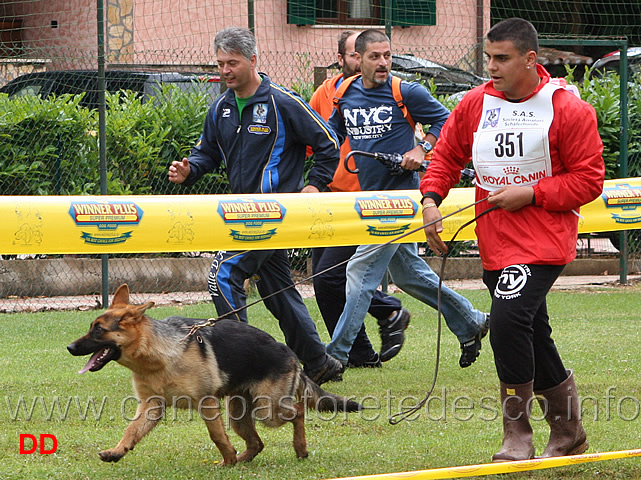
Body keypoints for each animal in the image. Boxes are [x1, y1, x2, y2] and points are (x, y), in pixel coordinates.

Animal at [69, 284, 362, 464]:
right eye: (91, 327)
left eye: (98, 330)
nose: (70, 348)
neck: (159, 355)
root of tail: (288, 353)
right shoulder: (151, 407)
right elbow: (131, 431)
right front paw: (117, 451)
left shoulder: (207, 403)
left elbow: (216, 435)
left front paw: (228, 457)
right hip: (240, 415)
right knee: (257, 443)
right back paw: (242, 460)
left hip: (268, 411)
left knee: (298, 411)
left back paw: (298, 448)